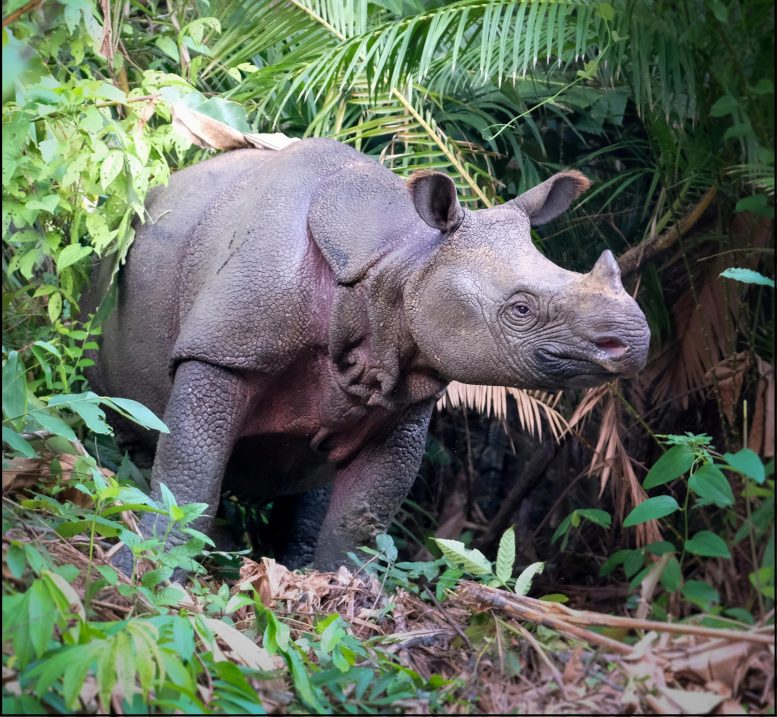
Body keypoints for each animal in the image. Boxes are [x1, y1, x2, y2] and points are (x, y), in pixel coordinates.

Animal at [89, 138, 649, 571]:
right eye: (520, 310)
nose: (635, 340)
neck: (400, 261)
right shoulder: (223, 348)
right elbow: (188, 477)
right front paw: (146, 567)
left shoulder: (403, 394)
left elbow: (360, 520)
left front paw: (341, 591)